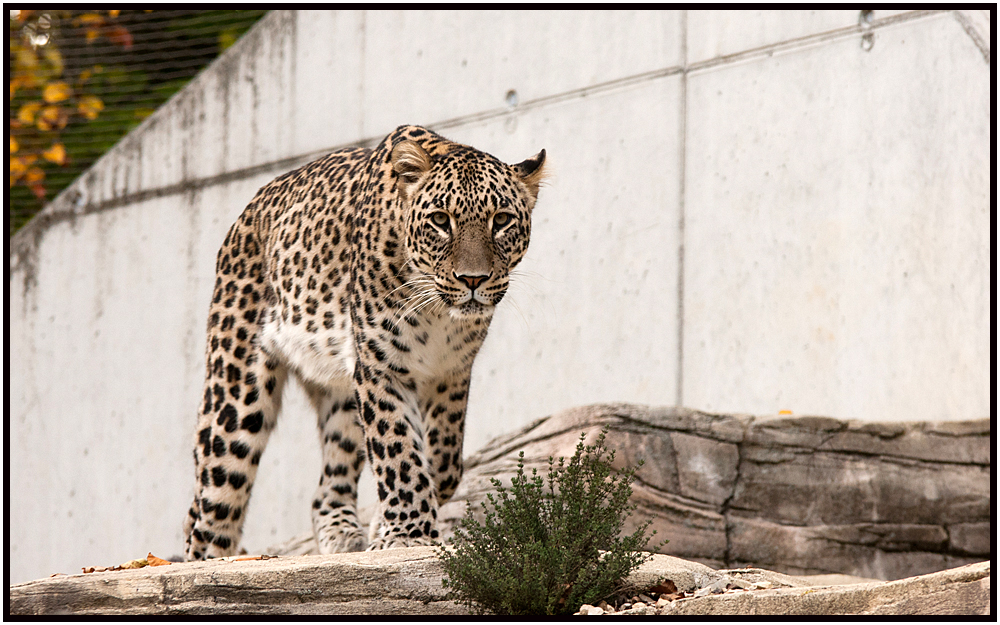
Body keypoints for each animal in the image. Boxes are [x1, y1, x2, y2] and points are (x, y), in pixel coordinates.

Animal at [184, 124, 552, 560]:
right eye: (440, 220)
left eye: (502, 220)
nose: (473, 279)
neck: (439, 314)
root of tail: (246, 214)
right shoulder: (381, 367)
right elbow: (398, 450)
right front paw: (409, 535)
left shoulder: (452, 373)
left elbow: (444, 462)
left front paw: (385, 525)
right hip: (236, 395)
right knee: (210, 509)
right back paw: (204, 563)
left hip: (342, 395)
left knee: (326, 486)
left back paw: (343, 534)